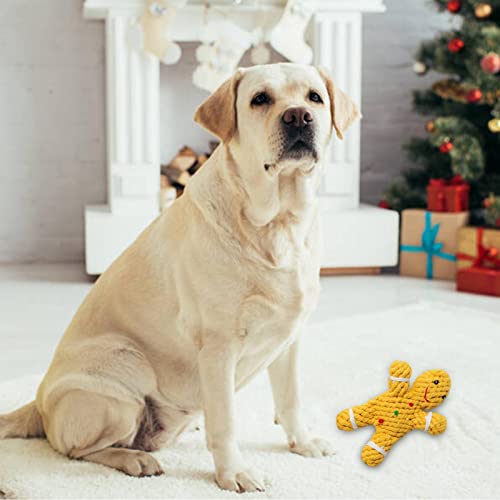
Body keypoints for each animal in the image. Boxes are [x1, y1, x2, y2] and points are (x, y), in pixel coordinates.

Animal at [0, 61, 360, 492]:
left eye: (314, 98)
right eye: (260, 99)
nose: (298, 117)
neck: (278, 222)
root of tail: (37, 403)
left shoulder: (289, 339)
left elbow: (290, 400)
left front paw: (303, 443)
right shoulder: (219, 346)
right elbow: (226, 422)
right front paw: (234, 473)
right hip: (124, 373)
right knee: (75, 450)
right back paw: (135, 459)